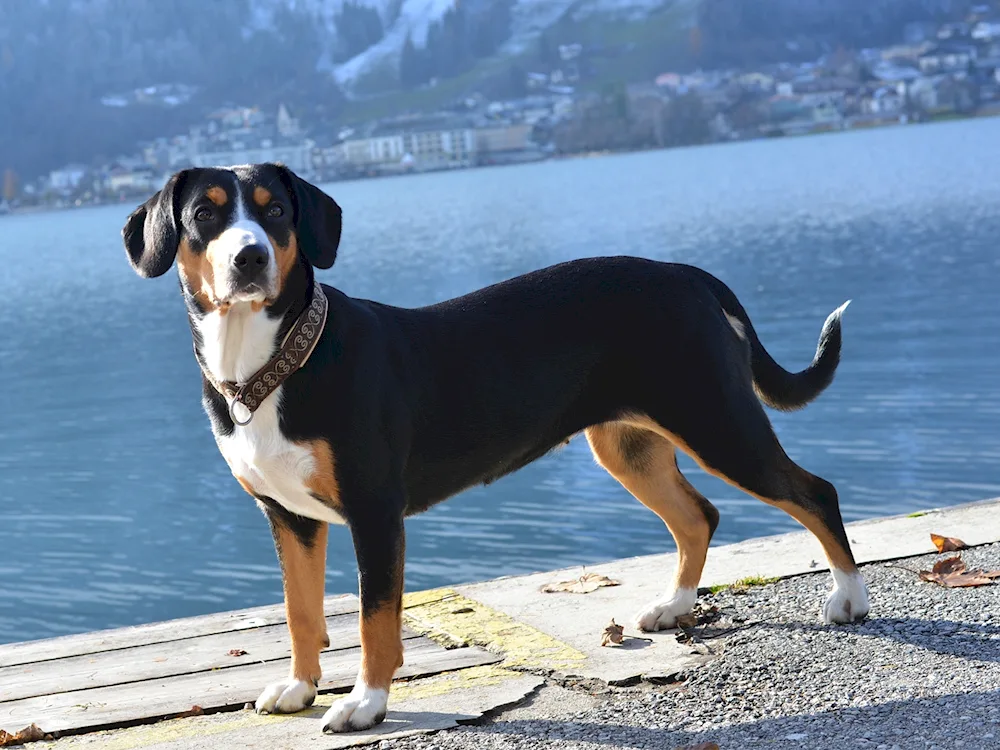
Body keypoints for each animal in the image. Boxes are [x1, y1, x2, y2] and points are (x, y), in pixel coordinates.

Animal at [119, 163, 868, 736]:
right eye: (205, 216)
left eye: (275, 212)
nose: (249, 258)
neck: (273, 364)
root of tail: (683, 272)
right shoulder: (288, 517)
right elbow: (301, 613)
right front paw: (301, 688)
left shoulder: (374, 512)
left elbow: (374, 620)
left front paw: (366, 704)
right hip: (630, 447)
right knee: (698, 516)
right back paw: (675, 606)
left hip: (717, 424)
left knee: (814, 493)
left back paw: (848, 599)